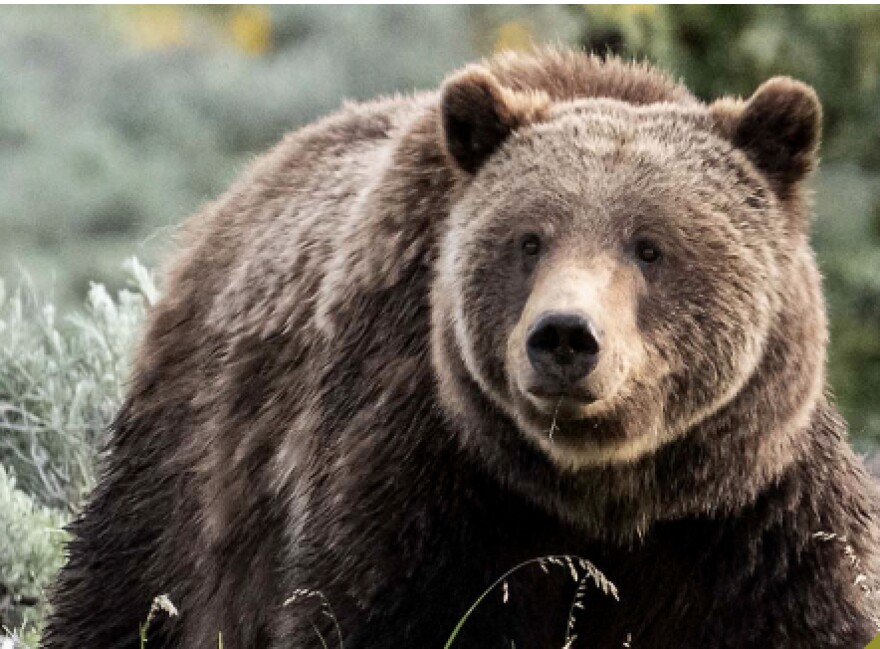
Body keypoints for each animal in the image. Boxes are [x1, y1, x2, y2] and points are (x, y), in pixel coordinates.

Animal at [43, 48, 880, 649]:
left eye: (650, 245)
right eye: (529, 240)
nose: (565, 335)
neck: (601, 492)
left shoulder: (747, 510)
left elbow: (817, 608)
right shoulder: (424, 475)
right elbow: (363, 610)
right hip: (194, 457)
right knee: (131, 587)